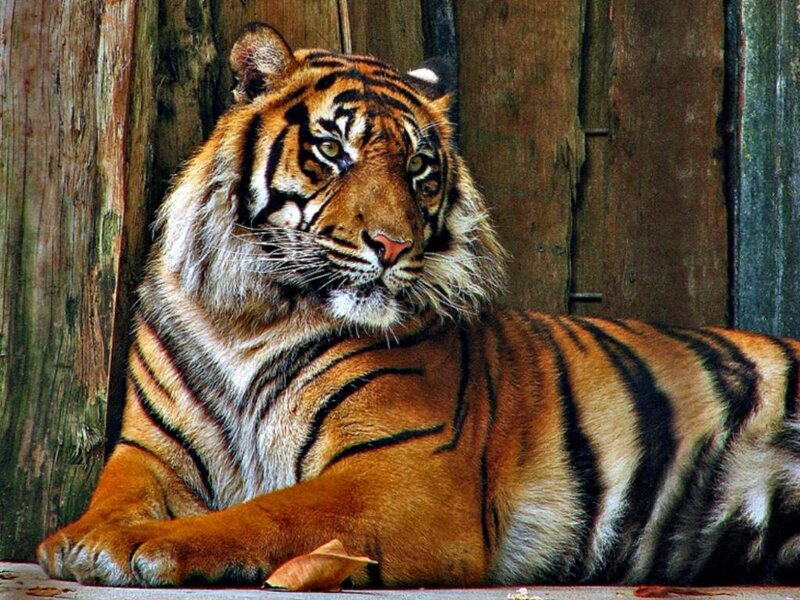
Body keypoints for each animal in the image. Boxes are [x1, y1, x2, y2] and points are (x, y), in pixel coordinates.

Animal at [37, 23, 800, 588]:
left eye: (418, 168)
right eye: (332, 149)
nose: (392, 244)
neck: (253, 315)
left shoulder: (403, 473)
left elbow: (266, 513)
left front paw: (147, 545)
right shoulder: (151, 451)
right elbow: (115, 495)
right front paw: (80, 539)